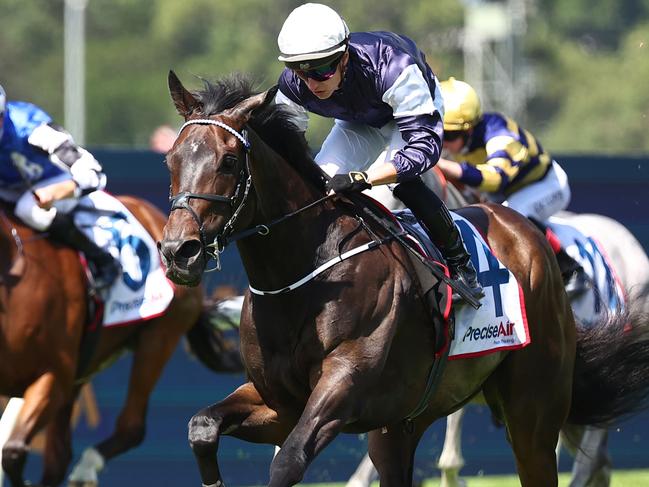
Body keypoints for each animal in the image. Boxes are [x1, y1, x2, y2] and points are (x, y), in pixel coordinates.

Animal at [0, 195, 242, 487]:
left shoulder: (53, 374)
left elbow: (13, 452)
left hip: (158, 338)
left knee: (131, 427)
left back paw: (86, 468)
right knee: (59, 455)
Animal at [158, 72, 649, 487]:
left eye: (227, 161)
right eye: (170, 160)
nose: (179, 251)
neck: (301, 277)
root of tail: (523, 231)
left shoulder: (342, 390)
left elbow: (288, 461)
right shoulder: (279, 402)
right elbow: (202, 426)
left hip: (532, 413)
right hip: (402, 426)